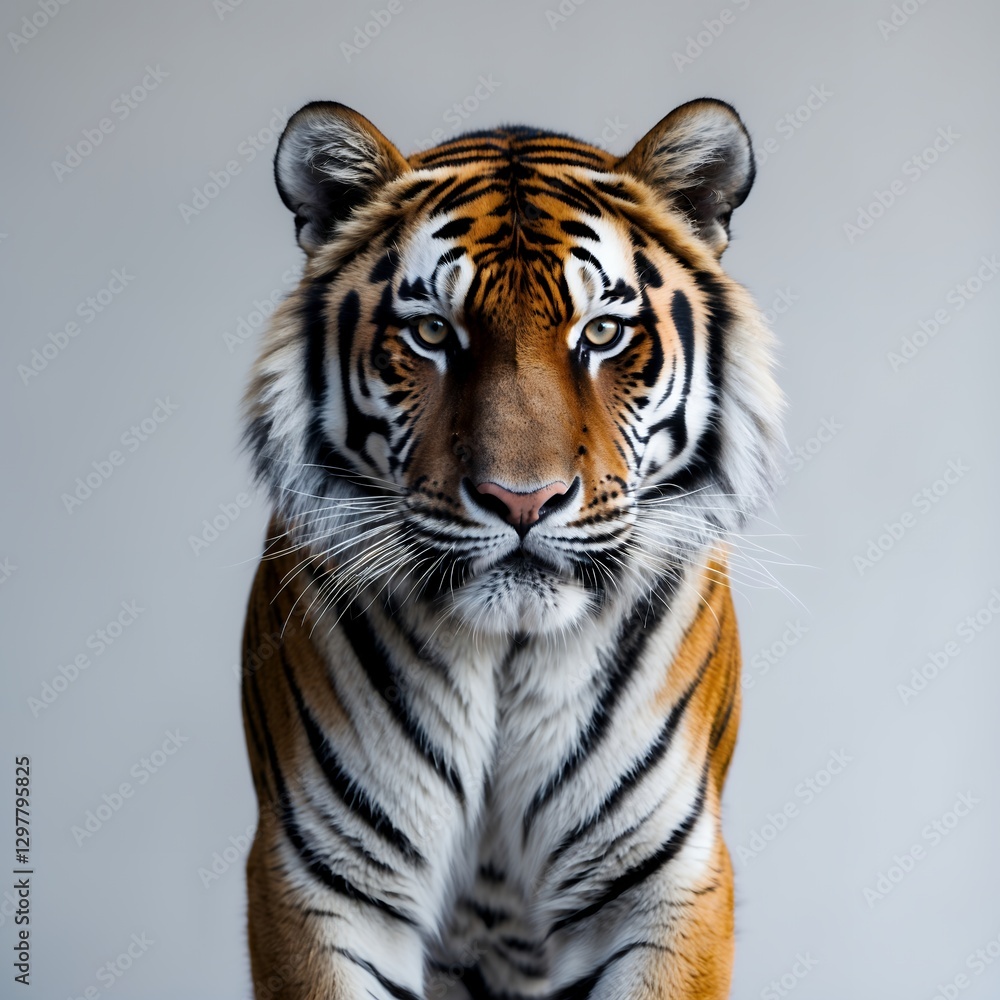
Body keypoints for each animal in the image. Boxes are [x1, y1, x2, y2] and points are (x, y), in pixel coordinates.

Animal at [239, 96, 783, 1000]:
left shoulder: (663, 879)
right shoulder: (321, 877)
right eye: (431, 332)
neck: (509, 652)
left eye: (603, 331)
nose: (521, 499)